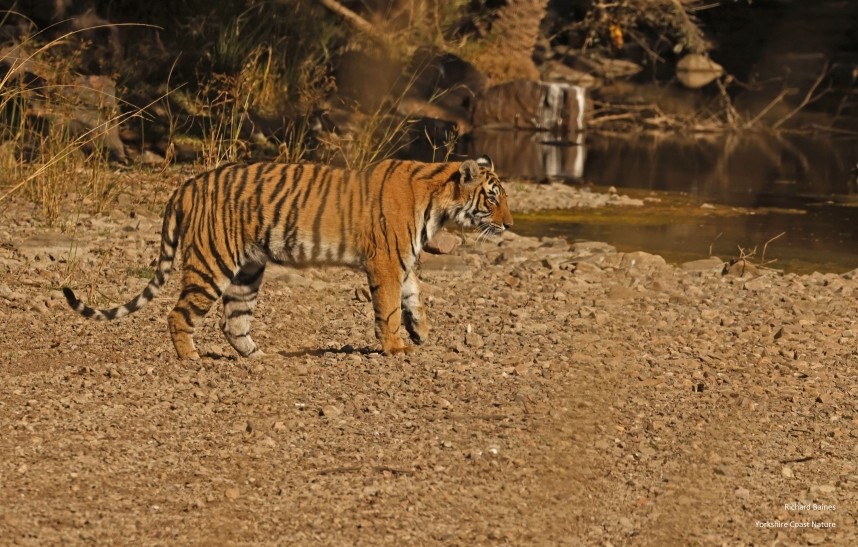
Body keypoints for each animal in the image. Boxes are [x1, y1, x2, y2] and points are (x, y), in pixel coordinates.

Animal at [63, 156, 512, 360]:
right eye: (493, 199)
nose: (509, 224)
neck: (438, 202)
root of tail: (188, 183)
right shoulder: (385, 260)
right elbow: (387, 308)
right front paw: (396, 347)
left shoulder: (403, 259)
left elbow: (413, 295)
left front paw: (420, 332)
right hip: (211, 264)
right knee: (178, 314)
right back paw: (192, 359)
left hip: (247, 272)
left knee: (233, 322)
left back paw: (258, 358)